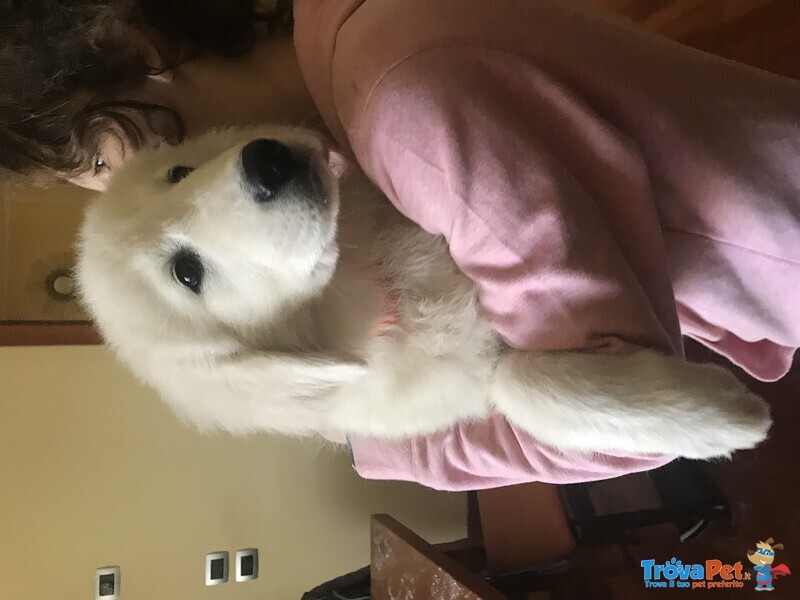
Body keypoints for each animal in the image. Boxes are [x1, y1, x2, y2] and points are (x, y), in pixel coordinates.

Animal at [78, 125, 772, 454]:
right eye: (187, 273)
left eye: (178, 172)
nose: (268, 161)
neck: (369, 284)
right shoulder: (466, 379)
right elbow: (517, 381)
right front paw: (726, 420)